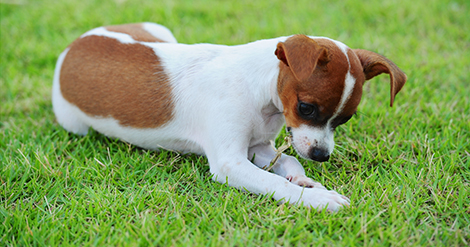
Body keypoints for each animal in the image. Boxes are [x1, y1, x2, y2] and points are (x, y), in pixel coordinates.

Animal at [52, 23, 408, 211]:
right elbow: (273, 183)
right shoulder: (230, 163)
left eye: (344, 119)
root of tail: (73, 47)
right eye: (306, 108)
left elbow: (289, 160)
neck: (260, 93)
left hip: (159, 32)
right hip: (75, 124)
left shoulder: (260, 147)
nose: (321, 155)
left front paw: (303, 180)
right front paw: (319, 199)